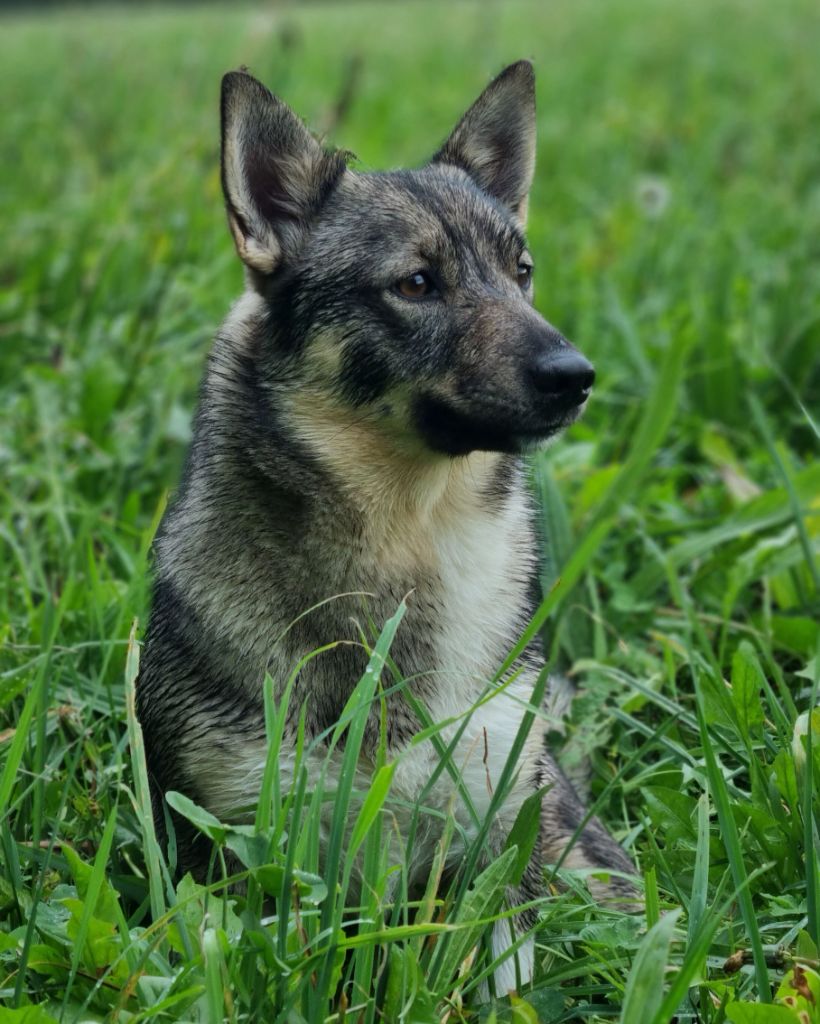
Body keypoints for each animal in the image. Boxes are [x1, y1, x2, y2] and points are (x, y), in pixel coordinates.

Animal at [136, 59, 634, 995]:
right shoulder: (244, 853)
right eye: (416, 284)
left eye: (522, 271)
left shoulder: (509, 836)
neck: (408, 541)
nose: (575, 376)